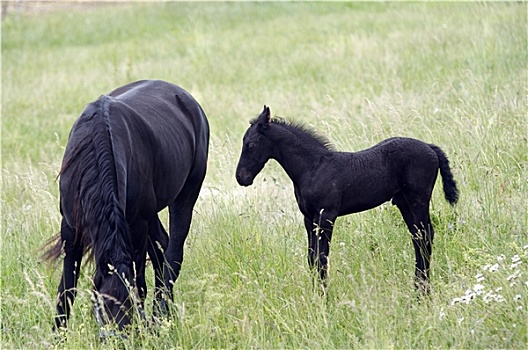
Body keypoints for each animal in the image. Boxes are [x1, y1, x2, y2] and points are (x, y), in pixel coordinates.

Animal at [44, 80, 208, 334]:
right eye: (100, 309)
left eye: (129, 310)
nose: (117, 337)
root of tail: (190, 102)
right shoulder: (70, 228)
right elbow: (67, 288)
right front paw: (58, 334)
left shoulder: (136, 226)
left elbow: (138, 283)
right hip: (150, 213)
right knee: (162, 248)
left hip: (185, 197)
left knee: (173, 254)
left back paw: (162, 313)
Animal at [235, 106, 458, 292]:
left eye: (251, 144)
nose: (241, 178)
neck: (313, 167)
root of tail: (429, 147)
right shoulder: (309, 219)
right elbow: (311, 258)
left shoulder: (326, 216)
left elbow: (322, 257)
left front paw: (324, 296)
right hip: (404, 203)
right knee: (418, 237)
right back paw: (418, 287)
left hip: (418, 200)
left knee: (425, 237)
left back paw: (422, 291)